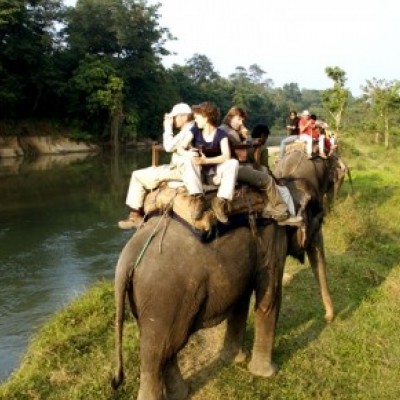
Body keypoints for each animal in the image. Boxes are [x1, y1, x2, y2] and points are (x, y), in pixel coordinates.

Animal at [111, 216, 288, 400]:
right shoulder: (271, 241)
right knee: (158, 353)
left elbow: (242, 299)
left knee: (166, 347)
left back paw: (181, 393)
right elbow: (269, 298)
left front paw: (235, 359)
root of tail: (127, 257)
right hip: (164, 296)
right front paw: (268, 373)